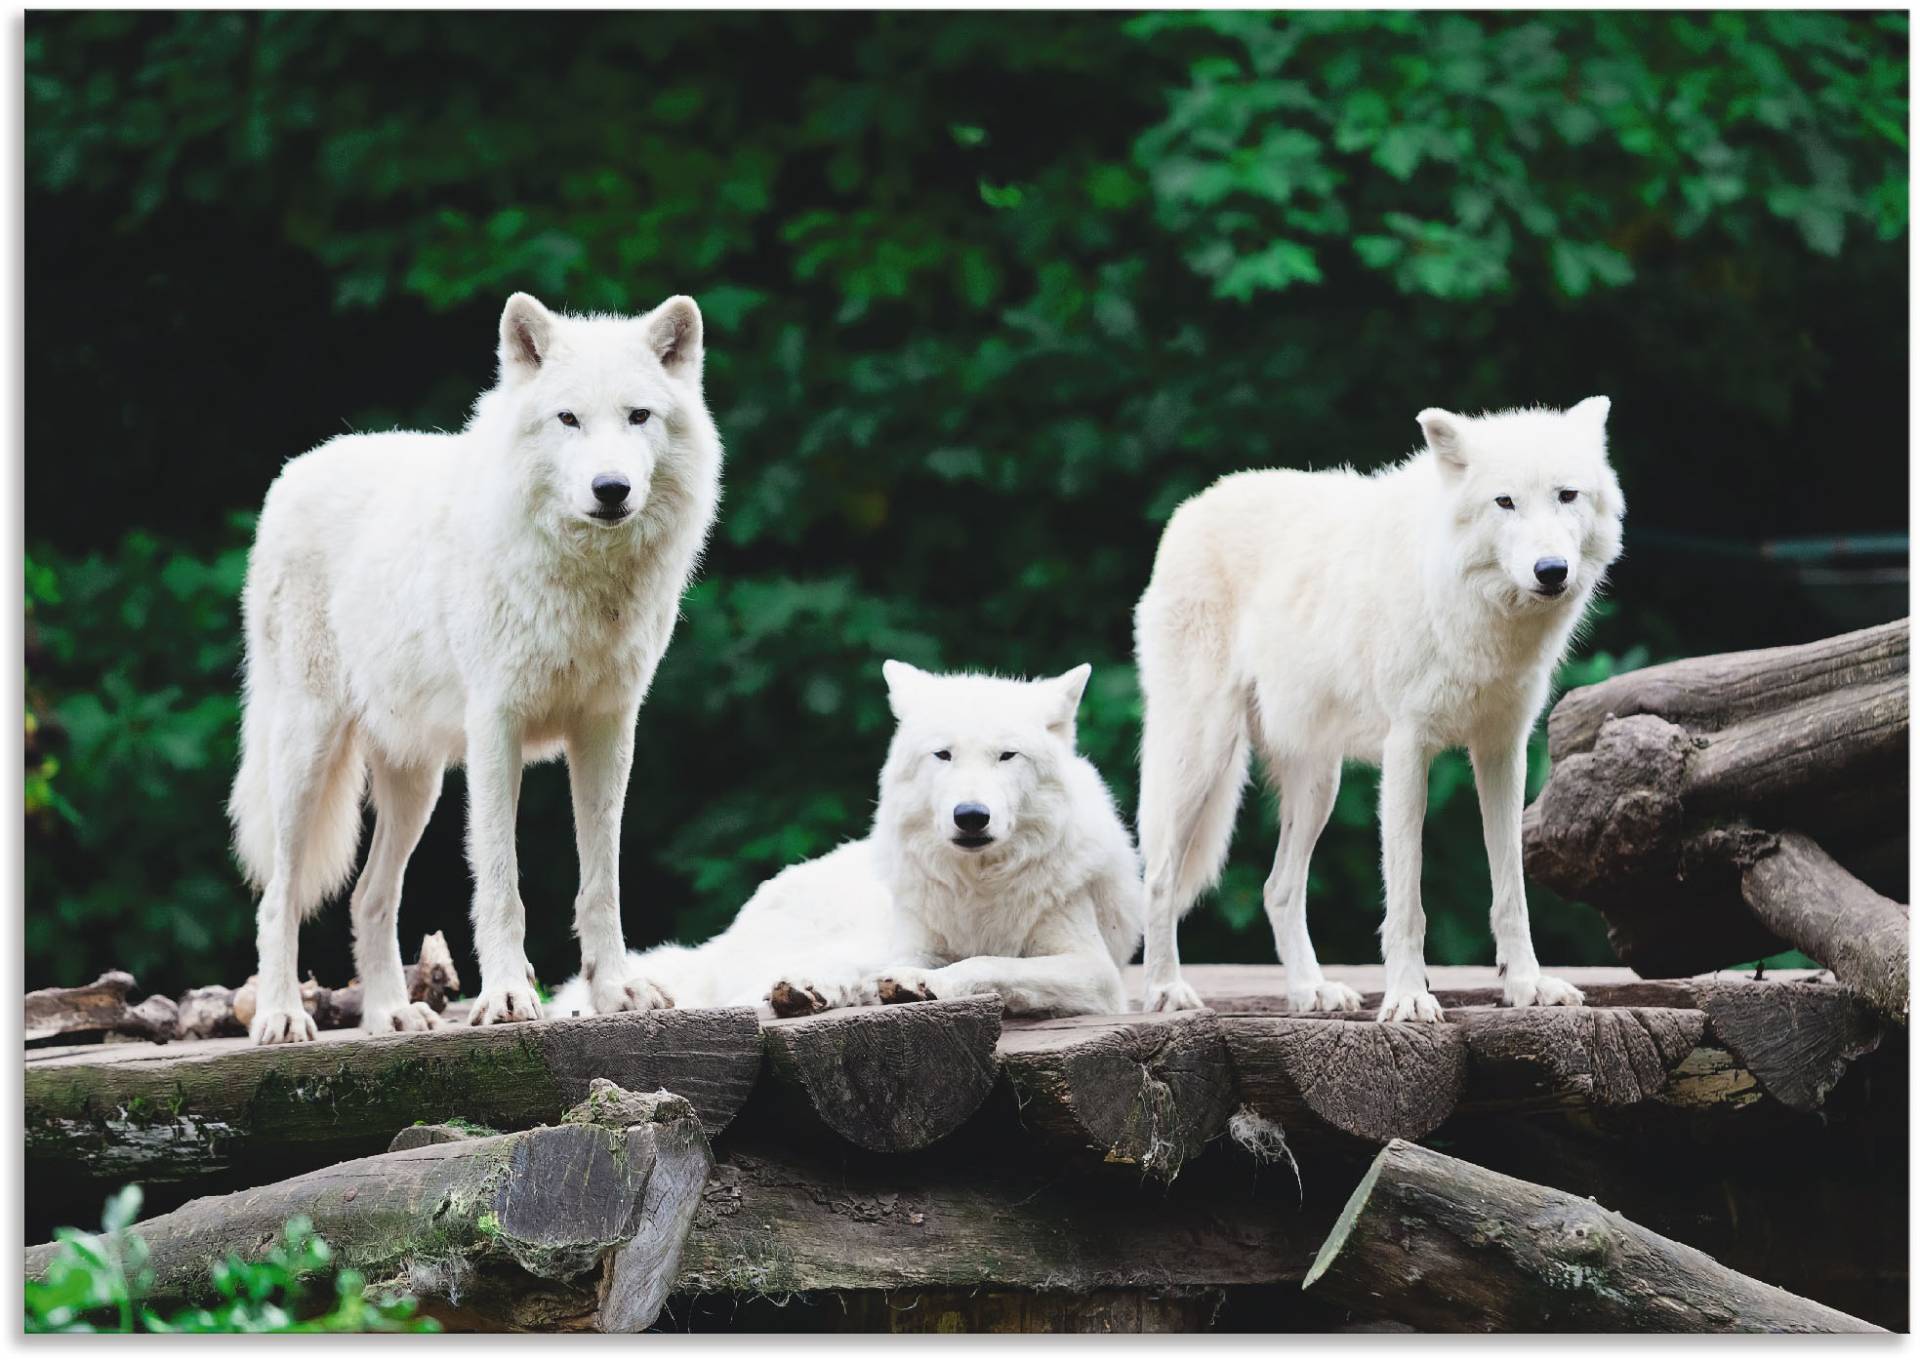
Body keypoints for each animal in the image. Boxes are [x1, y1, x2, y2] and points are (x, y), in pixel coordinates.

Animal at [230, 291, 721, 1044]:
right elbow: (499, 880)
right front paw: (508, 998)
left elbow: (601, 880)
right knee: (278, 896)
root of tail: (295, 470)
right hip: (305, 755)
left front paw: (616, 990)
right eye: (568, 418)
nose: (610, 488)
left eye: (639, 416)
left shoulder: (608, 729)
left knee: (370, 896)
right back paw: (282, 1016)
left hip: (417, 781)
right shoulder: (497, 728)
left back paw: (392, 1015)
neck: (584, 582)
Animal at [549, 664, 1144, 1013]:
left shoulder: (1094, 971)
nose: (971, 816)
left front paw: (923, 984)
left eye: (1006, 756)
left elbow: (990, 966)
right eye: (944, 755)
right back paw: (800, 990)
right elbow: (921, 963)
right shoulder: (914, 941)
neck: (980, 890)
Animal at [1128, 397, 1628, 1021]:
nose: (1551, 570)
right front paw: (1410, 997)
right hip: (1202, 755)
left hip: (1319, 783)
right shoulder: (1407, 750)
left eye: (1567, 495)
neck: (1472, 612)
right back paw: (1166, 990)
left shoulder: (1502, 751)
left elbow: (1511, 892)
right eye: (1505, 501)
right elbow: (1408, 903)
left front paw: (1527, 986)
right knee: (1160, 878)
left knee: (1278, 889)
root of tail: (1193, 507)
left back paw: (1311, 992)